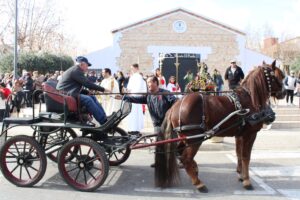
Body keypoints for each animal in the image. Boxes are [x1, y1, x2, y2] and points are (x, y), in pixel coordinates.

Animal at [155, 60, 286, 192]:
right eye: (278, 76)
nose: (284, 93)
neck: (250, 98)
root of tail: (175, 106)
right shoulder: (250, 134)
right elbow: (246, 156)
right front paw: (247, 181)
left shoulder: (239, 135)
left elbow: (239, 154)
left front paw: (241, 175)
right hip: (195, 138)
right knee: (186, 158)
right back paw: (199, 183)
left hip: (185, 137)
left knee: (180, 153)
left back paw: (195, 171)